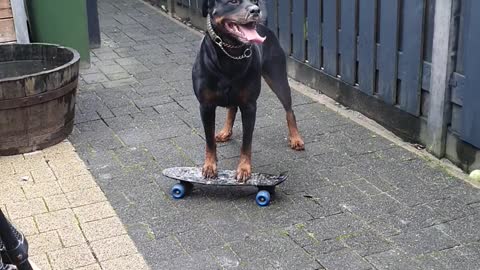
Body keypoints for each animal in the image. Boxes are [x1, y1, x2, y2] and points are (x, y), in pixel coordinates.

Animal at [191, 0, 304, 181]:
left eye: (255, 2)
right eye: (233, 1)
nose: (256, 10)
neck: (231, 54)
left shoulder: (249, 106)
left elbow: (247, 141)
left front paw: (244, 169)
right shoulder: (206, 106)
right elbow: (209, 139)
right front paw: (209, 166)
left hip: (277, 78)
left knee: (289, 109)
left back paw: (296, 138)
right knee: (232, 108)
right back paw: (225, 132)